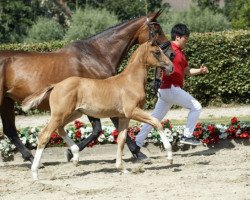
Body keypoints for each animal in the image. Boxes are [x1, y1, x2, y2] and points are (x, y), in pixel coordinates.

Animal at [22, 41, 174, 180]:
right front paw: (170, 157)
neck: (131, 81)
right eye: (157, 52)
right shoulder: (132, 111)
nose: (171, 66)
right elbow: (156, 122)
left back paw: (75, 156)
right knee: (44, 135)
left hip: (73, 113)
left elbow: (121, 139)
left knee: (60, 129)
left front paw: (122, 168)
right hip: (60, 115)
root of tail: (56, 85)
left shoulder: (124, 116)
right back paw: (35, 173)